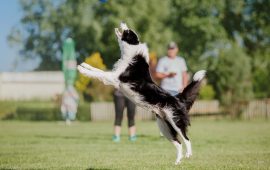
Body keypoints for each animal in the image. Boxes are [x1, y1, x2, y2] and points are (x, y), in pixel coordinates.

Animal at [77, 21, 206, 164]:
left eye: (128, 30)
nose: (122, 21)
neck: (131, 53)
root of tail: (178, 98)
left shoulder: (114, 79)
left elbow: (99, 73)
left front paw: (82, 70)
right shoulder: (114, 76)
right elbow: (98, 70)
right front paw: (85, 65)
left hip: (175, 120)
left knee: (186, 139)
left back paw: (188, 154)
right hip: (164, 126)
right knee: (178, 143)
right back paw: (177, 162)